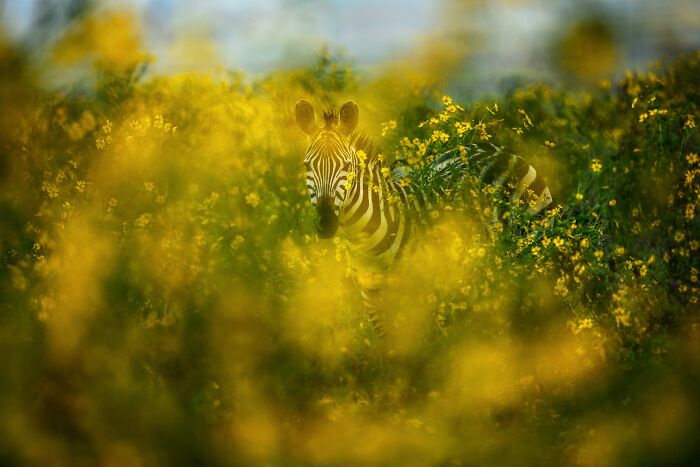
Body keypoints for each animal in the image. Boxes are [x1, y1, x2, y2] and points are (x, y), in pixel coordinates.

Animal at [295, 99, 553, 335]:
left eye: (347, 166)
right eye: (307, 166)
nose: (326, 223)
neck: (366, 241)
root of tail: (496, 149)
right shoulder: (373, 305)